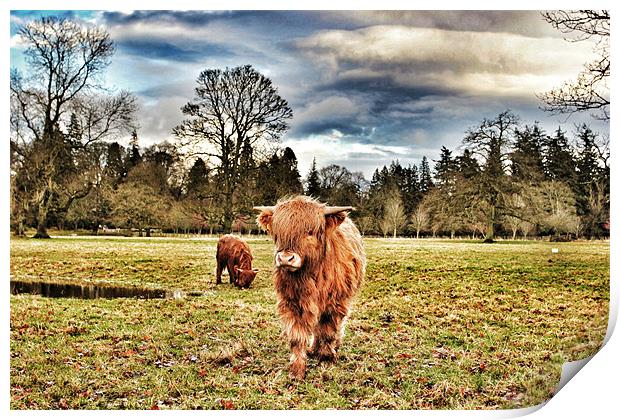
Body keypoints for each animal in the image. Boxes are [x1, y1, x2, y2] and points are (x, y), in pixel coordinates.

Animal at [254, 195, 366, 378]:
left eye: (310, 232)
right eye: (278, 233)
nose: (285, 258)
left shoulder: (335, 303)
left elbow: (328, 330)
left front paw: (326, 357)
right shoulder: (292, 303)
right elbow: (297, 337)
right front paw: (297, 369)